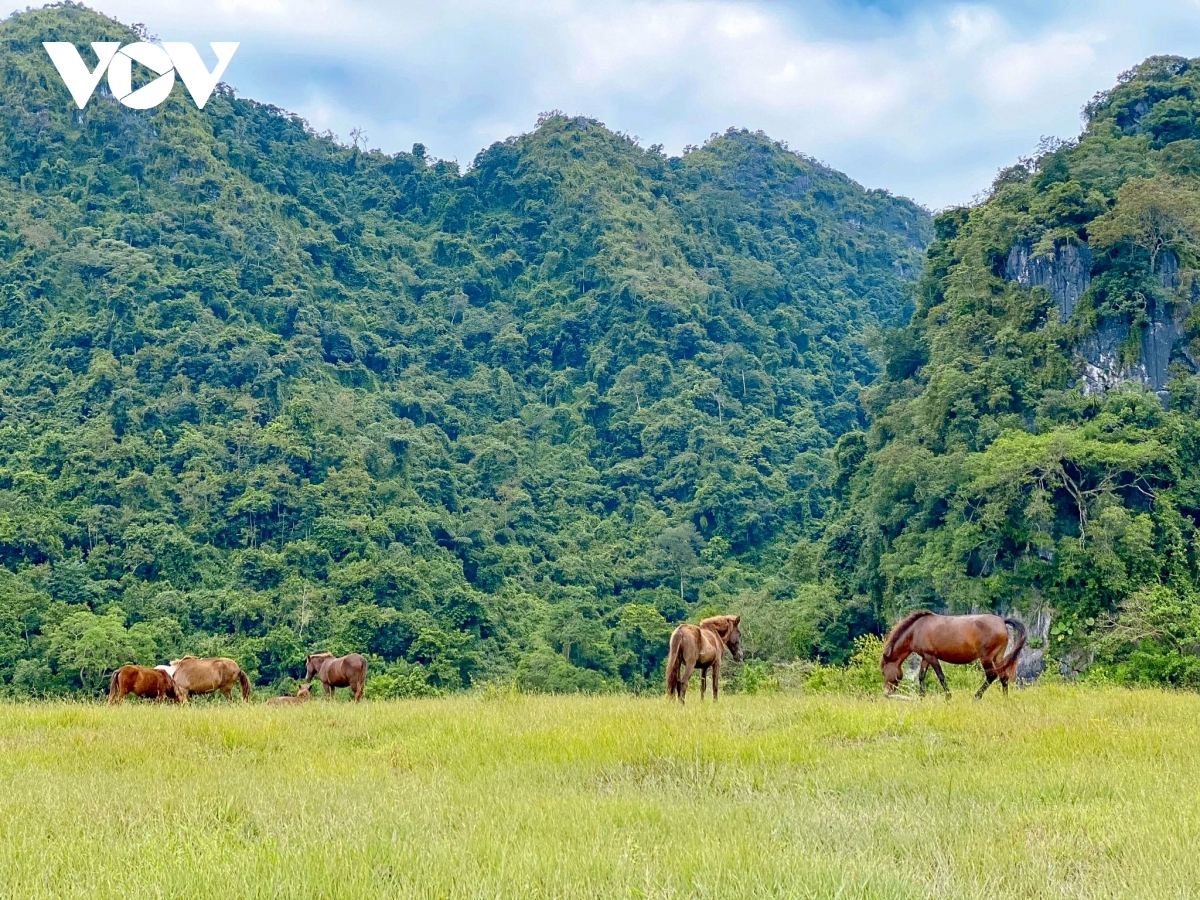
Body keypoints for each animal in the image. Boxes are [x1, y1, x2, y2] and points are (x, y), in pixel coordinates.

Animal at [880, 610, 1026, 699]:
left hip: (986, 657)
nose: (886, 693)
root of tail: (1002, 621)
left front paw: (948, 697)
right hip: (997, 657)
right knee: (1003, 676)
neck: (915, 630)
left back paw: (976, 697)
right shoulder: (925, 657)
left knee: (991, 676)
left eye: (883, 672)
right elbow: (921, 676)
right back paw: (1005, 698)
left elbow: (941, 677)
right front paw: (922, 696)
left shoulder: (932, 656)